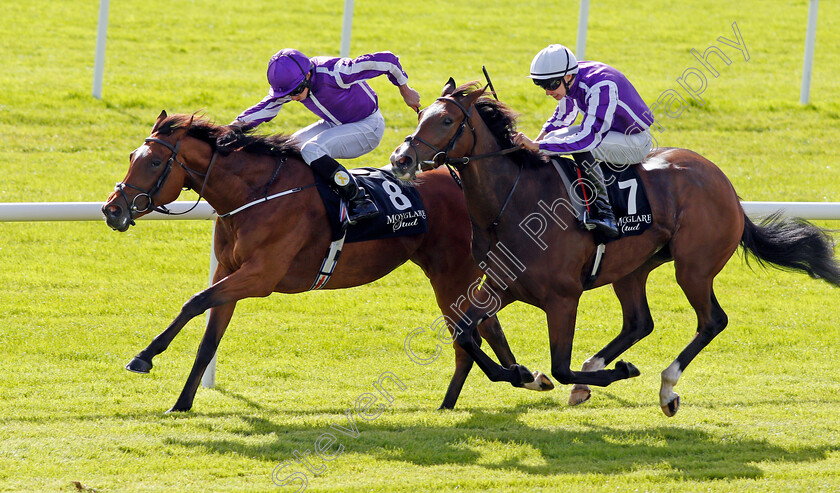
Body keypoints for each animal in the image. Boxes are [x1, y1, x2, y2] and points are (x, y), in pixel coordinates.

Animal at [100, 110, 556, 412]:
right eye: (131, 157)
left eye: (154, 162)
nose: (112, 209)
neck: (255, 194)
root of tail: (463, 178)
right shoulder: (230, 272)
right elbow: (209, 339)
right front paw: (181, 403)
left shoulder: (259, 276)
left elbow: (193, 302)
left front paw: (144, 356)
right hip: (444, 270)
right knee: (479, 326)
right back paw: (488, 388)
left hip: (451, 270)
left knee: (470, 330)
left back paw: (511, 376)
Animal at [388, 80, 840, 416]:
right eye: (420, 115)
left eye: (446, 119)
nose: (401, 159)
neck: (511, 202)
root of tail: (726, 185)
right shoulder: (504, 286)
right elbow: (467, 333)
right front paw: (523, 374)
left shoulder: (562, 297)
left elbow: (561, 366)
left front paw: (615, 373)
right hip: (632, 269)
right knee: (640, 322)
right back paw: (601, 367)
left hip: (693, 267)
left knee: (712, 320)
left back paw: (666, 388)